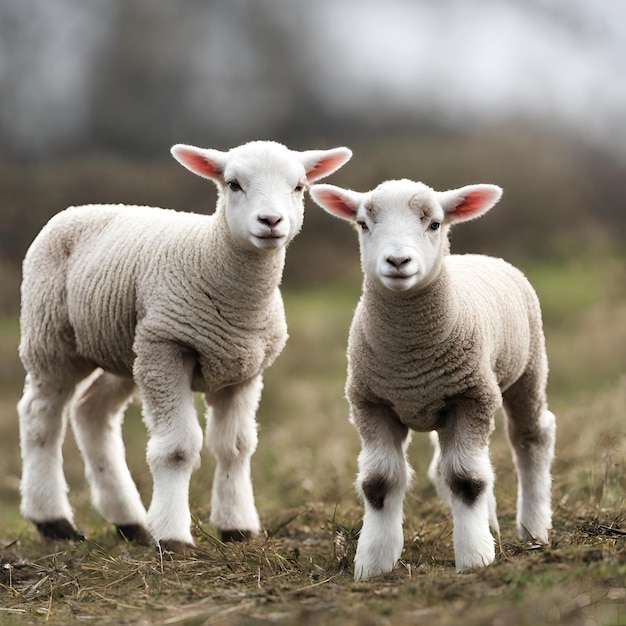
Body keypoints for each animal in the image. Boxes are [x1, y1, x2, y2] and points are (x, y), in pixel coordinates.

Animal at [17, 139, 352, 548]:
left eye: (299, 186)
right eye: (233, 184)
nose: (271, 221)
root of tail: (78, 208)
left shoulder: (243, 368)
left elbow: (236, 447)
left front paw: (237, 528)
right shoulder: (169, 350)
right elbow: (177, 449)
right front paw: (173, 537)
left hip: (128, 349)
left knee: (91, 412)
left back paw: (128, 520)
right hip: (53, 335)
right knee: (40, 417)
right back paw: (53, 520)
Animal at [310, 177, 552, 580]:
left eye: (434, 223)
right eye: (363, 224)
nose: (397, 261)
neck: (411, 360)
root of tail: (474, 256)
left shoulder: (472, 397)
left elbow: (467, 479)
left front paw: (475, 558)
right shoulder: (371, 402)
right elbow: (379, 482)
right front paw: (374, 563)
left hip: (528, 367)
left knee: (530, 437)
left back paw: (534, 528)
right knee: (444, 465)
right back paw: (491, 523)